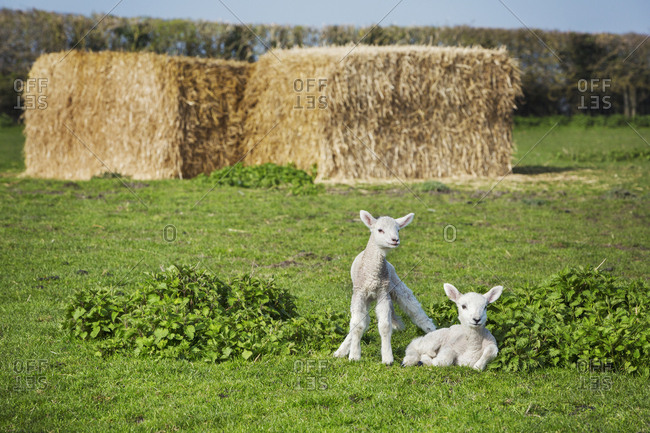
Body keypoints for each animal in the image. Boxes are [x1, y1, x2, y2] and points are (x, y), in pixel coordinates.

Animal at [333, 210, 436, 365]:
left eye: (398, 230)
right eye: (380, 230)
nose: (395, 240)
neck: (373, 274)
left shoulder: (383, 293)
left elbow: (385, 326)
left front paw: (387, 358)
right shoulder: (359, 293)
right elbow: (357, 325)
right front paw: (354, 355)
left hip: (395, 283)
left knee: (414, 309)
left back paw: (433, 332)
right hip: (367, 297)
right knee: (362, 321)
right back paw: (341, 350)